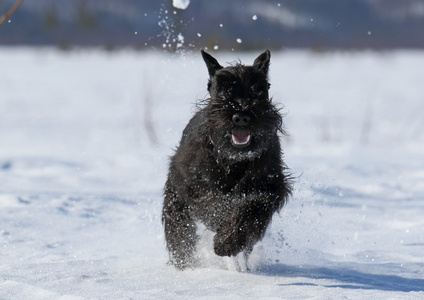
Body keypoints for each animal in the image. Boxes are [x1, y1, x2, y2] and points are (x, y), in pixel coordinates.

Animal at [162, 49, 292, 270]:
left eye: (259, 90)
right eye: (223, 91)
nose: (242, 116)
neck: (234, 159)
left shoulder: (270, 186)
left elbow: (252, 209)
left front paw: (227, 241)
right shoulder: (194, 186)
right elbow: (213, 206)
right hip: (175, 197)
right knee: (179, 230)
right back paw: (184, 262)